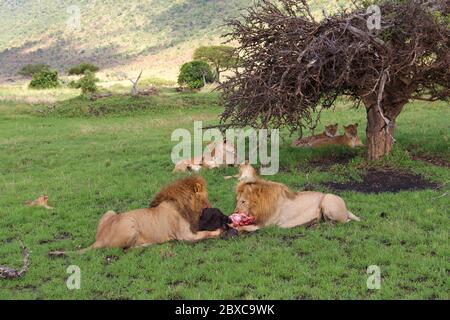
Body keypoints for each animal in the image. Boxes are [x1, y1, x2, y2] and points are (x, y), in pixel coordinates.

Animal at [83, 176, 222, 251]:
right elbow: (206, 233)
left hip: (110, 212)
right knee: (126, 249)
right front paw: (220, 231)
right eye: (206, 197)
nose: (211, 206)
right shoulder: (185, 236)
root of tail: (99, 239)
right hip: (130, 225)